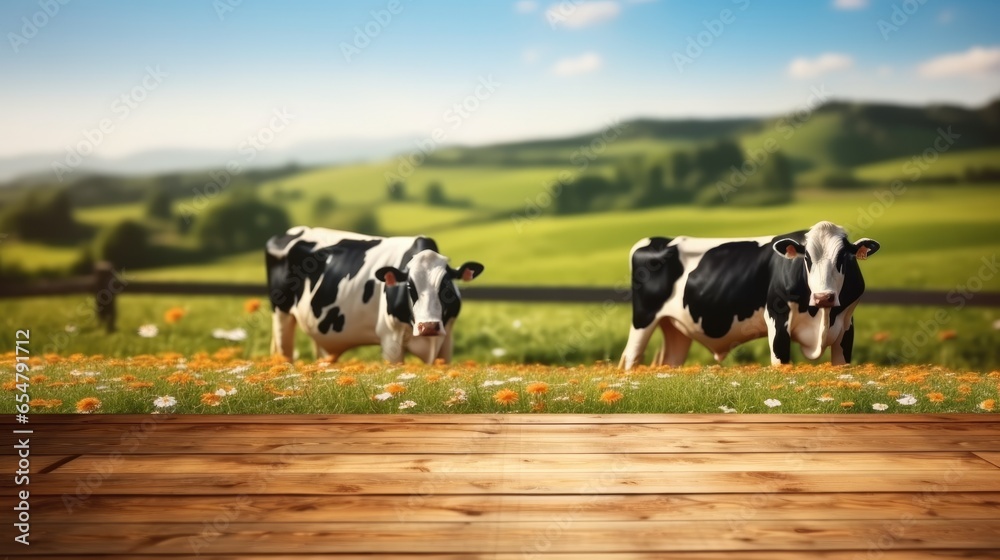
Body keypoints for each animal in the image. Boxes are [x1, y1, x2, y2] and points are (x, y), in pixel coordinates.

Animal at [266, 226, 484, 364]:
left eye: (447, 287)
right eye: (409, 286)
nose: (428, 326)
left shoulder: (446, 342)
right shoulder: (390, 339)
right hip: (281, 314)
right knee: (285, 355)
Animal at [620, 221, 880, 370]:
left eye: (843, 257)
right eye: (806, 258)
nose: (823, 297)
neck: (822, 319)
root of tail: (655, 241)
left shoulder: (846, 325)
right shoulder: (777, 317)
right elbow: (781, 364)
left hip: (677, 328)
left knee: (669, 362)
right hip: (643, 319)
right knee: (630, 358)